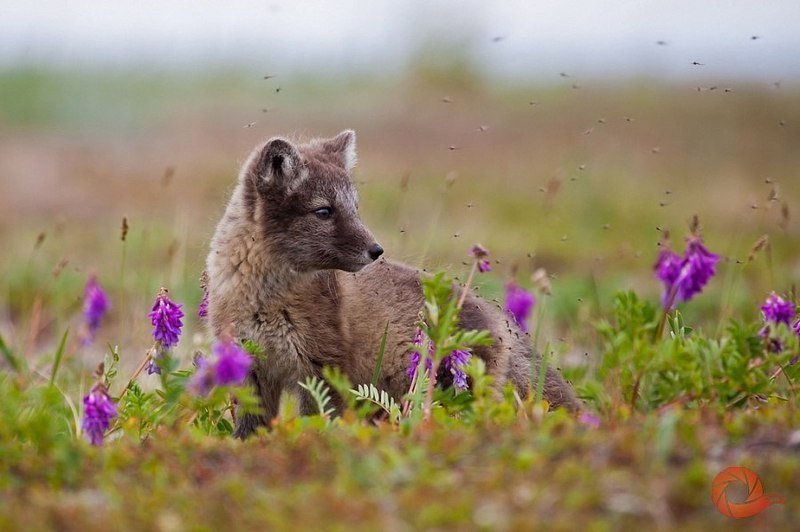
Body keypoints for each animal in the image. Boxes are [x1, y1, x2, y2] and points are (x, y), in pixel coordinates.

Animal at [206, 130, 580, 436]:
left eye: (355, 208)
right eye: (324, 211)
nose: (376, 250)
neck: (262, 296)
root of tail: (500, 321)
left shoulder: (323, 368)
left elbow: (321, 419)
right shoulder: (251, 369)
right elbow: (251, 428)